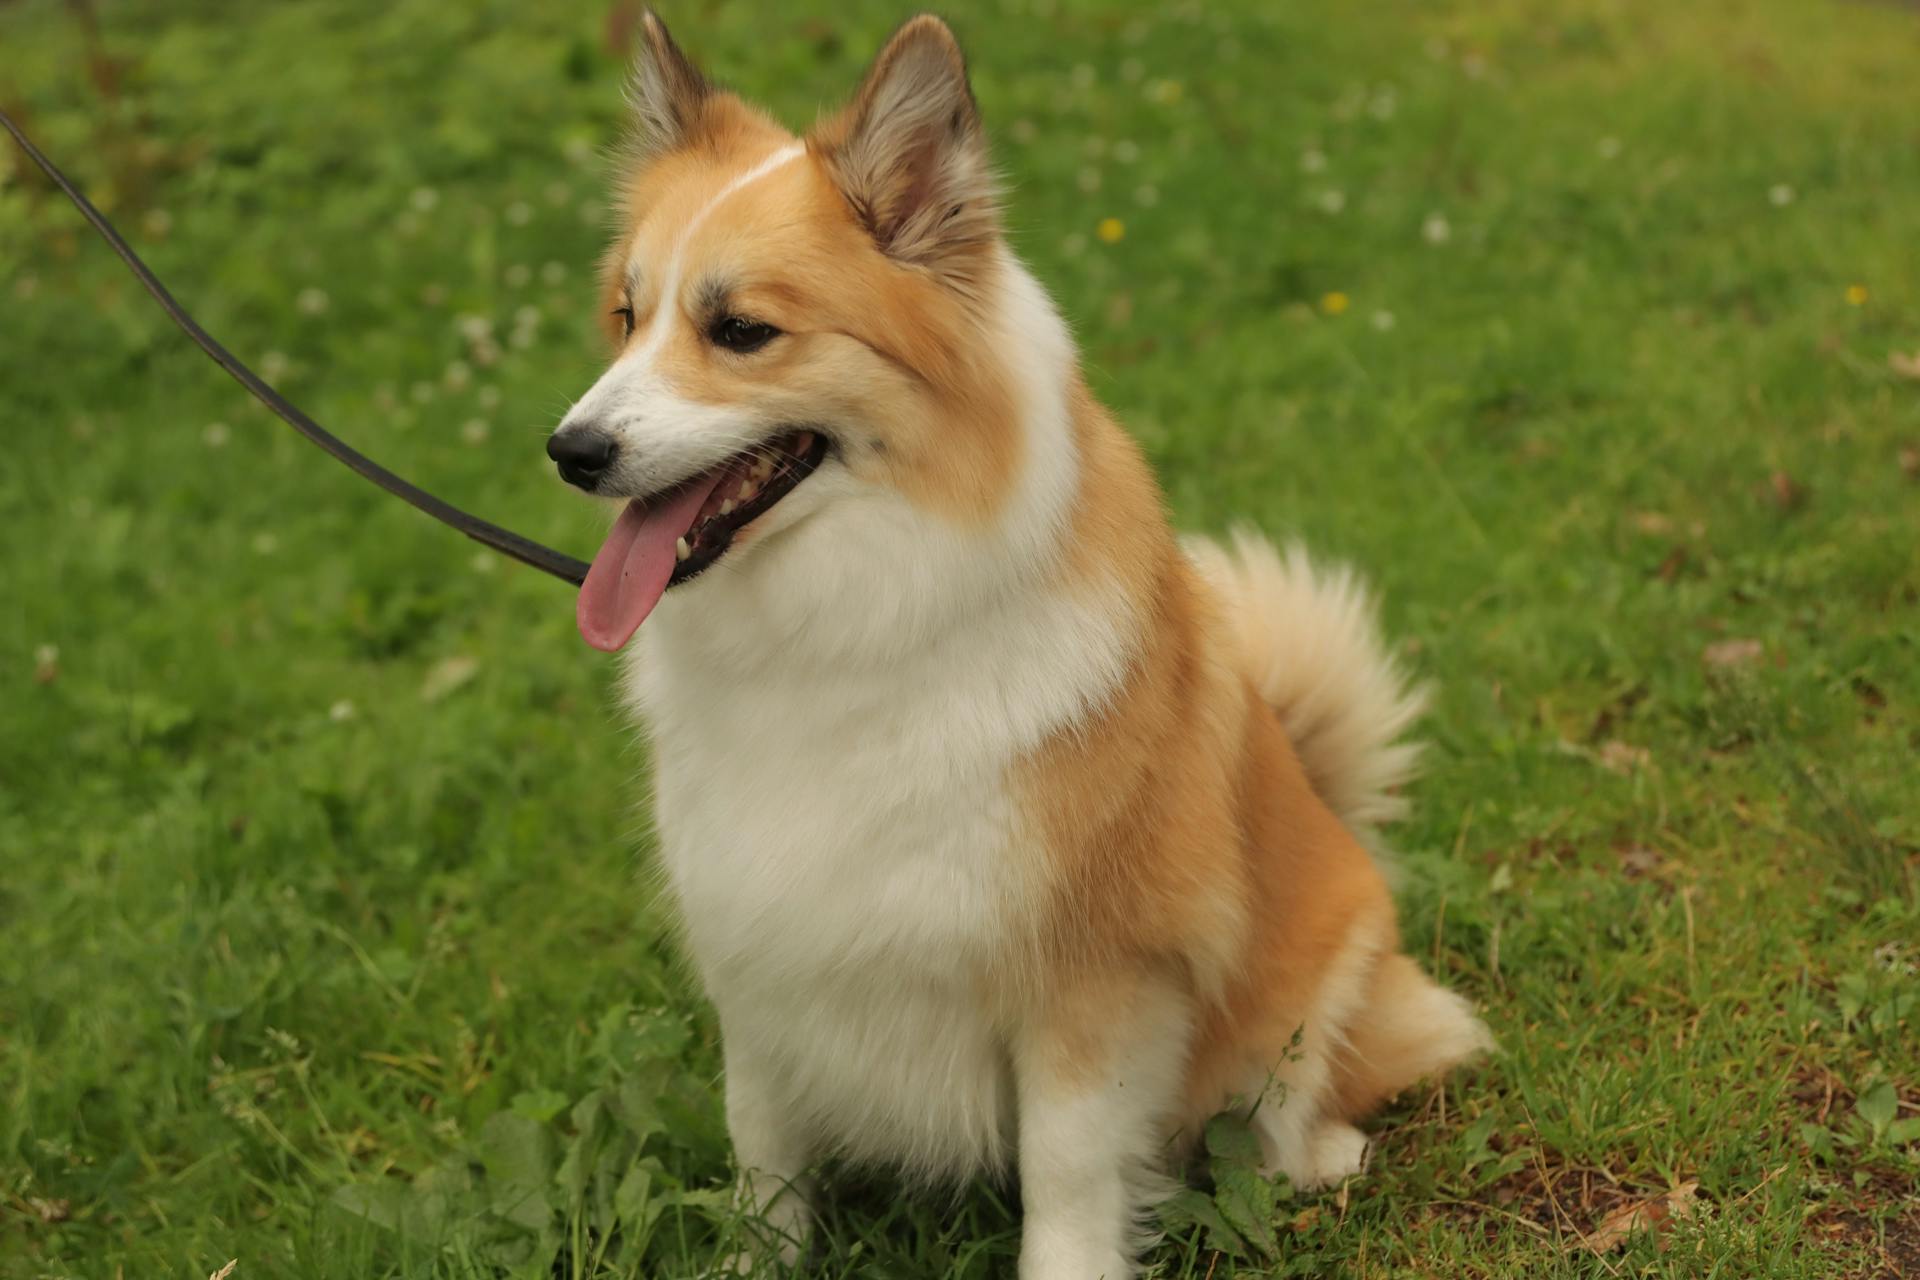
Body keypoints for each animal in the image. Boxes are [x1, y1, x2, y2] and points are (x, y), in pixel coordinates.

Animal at [549, 12, 1489, 1280]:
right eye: (626, 315)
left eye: (740, 331)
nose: (570, 449)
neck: (854, 630)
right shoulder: (758, 956)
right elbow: (764, 1149)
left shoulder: (1091, 989)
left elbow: (1069, 1180)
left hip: (1324, 962)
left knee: (1302, 1089)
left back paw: (1316, 1155)